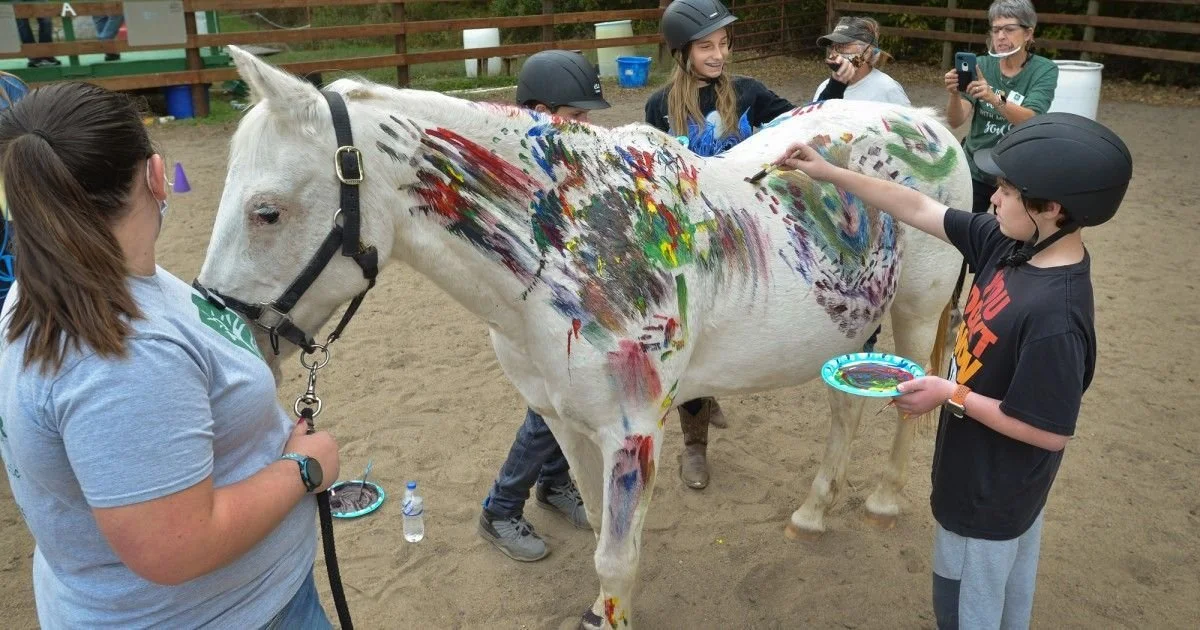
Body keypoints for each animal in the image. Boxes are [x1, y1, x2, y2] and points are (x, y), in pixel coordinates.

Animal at [196, 46, 970, 628]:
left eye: (266, 211)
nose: (232, 333)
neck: (571, 246)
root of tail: (925, 120)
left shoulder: (633, 433)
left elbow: (617, 557)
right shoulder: (565, 421)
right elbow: (598, 527)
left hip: (915, 315)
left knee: (909, 404)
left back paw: (883, 500)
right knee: (846, 410)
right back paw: (813, 511)